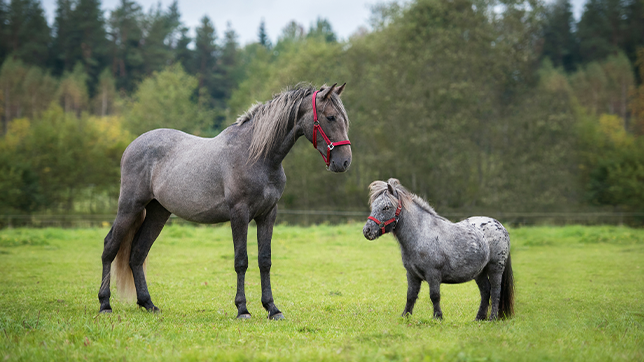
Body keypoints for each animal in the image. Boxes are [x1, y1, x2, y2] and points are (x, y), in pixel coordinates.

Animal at [99, 82, 352, 320]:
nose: (344, 162)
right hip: (130, 206)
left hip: (158, 212)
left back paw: (148, 304)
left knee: (138, 253)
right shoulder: (239, 213)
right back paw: (105, 304)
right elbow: (241, 260)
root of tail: (133, 145)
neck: (256, 155)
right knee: (110, 246)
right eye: (330, 117)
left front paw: (272, 308)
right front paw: (242, 309)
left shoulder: (268, 214)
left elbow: (265, 260)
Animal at [362, 179, 512, 320]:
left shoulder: (433, 274)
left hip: (495, 268)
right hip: (479, 272)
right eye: (373, 205)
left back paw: (492, 318)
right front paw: (405, 316)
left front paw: (437, 317)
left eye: (386, 207)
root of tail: (500, 226)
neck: (421, 234)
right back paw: (479, 318)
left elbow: (434, 295)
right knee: (486, 291)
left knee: (495, 291)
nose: (367, 231)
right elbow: (410, 295)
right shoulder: (412, 274)